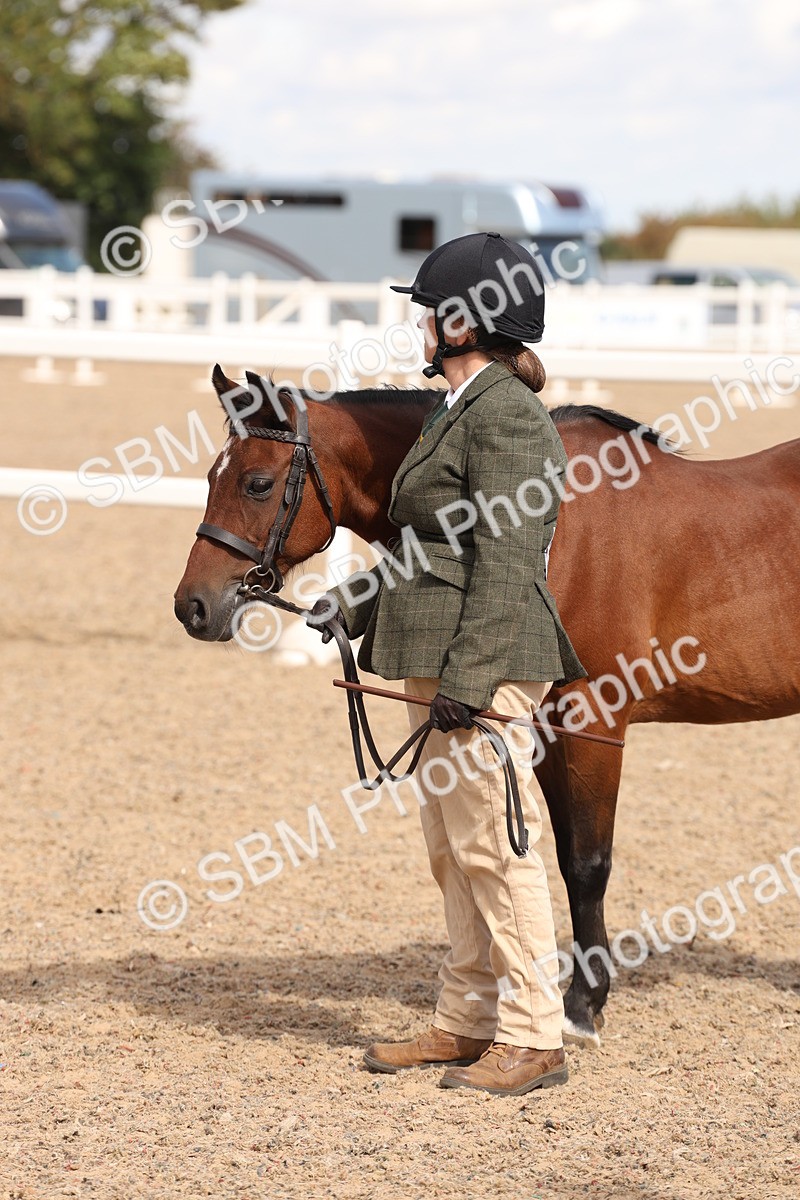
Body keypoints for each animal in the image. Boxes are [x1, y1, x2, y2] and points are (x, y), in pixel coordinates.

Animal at [174, 365, 800, 1047]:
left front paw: (581, 1008)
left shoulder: (594, 718)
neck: (550, 521)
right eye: (210, 477)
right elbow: (555, 859)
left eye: (257, 483)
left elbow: (588, 864)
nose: (192, 606)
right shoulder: (540, 726)